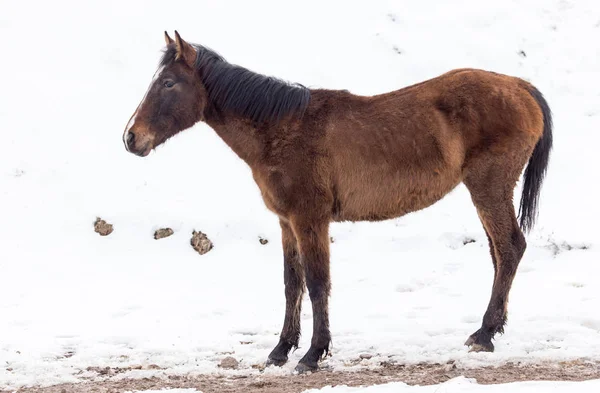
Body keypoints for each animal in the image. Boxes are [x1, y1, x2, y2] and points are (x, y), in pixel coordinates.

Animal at [122, 32, 552, 372]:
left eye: (168, 83)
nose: (131, 137)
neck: (281, 129)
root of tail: (521, 86)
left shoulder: (310, 219)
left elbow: (316, 283)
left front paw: (313, 354)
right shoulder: (286, 222)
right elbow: (291, 283)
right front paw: (280, 349)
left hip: (489, 189)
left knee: (509, 248)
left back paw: (484, 333)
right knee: (499, 253)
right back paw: (490, 330)